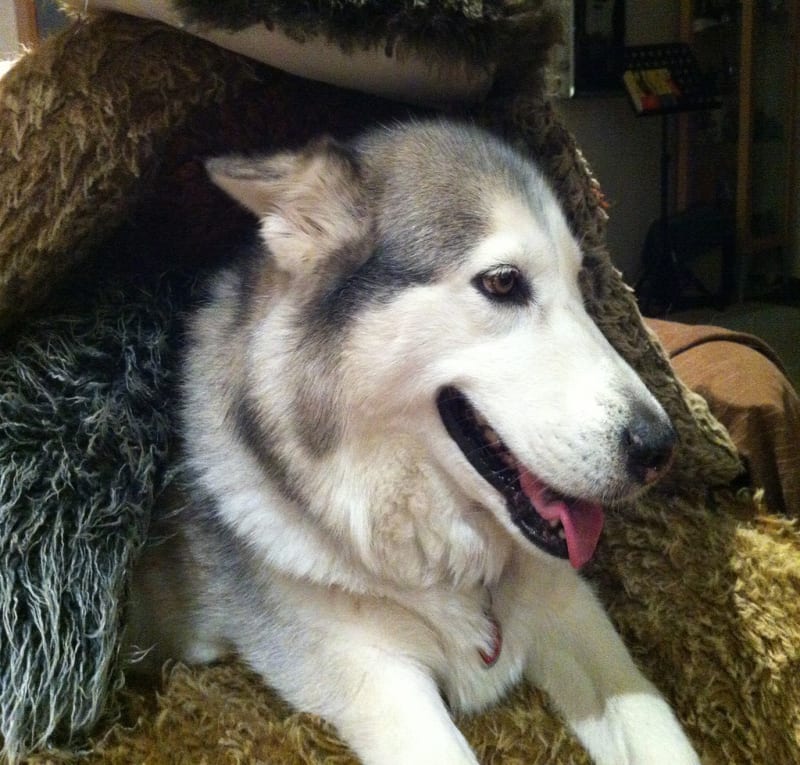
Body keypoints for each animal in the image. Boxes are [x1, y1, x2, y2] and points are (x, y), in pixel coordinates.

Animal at [126, 120, 700, 765]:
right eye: (503, 282)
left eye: (582, 286)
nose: (660, 448)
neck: (451, 565)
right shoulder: (377, 674)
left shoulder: (573, 613)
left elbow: (657, 730)